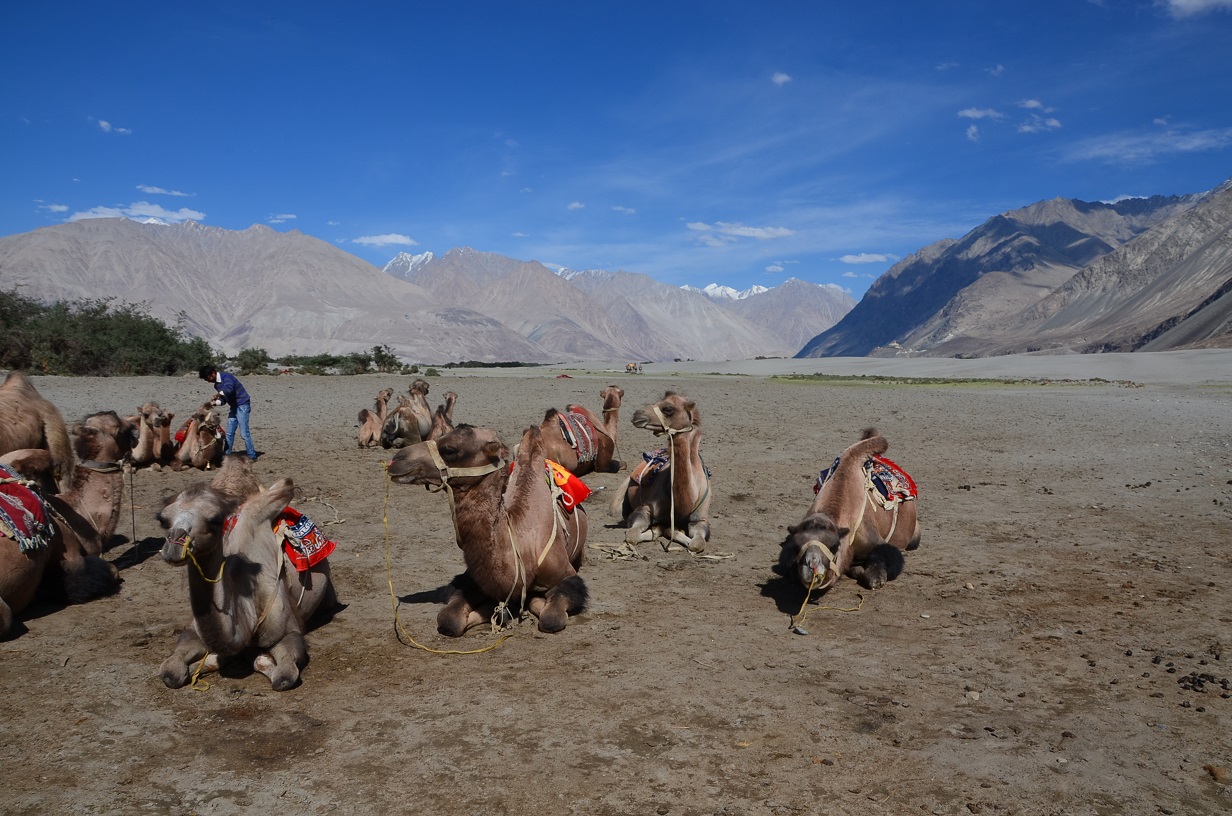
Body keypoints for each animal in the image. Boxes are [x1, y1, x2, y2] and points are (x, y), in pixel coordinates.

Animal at [158, 473, 342, 690]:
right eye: (163, 519)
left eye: (215, 520)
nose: (174, 546)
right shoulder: (192, 631)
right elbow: (170, 671)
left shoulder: (288, 632)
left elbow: (282, 676)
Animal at [389, 424, 591, 636]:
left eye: (450, 450)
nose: (397, 459)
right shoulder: (471, 580)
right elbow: (449, 619)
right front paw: (502, 612)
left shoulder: (566, 575)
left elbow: (551, 618)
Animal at [613, 391, 714, 557]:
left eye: (668, 408)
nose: (637, 414)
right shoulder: (645, 509)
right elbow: (632, 535)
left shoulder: (699, 520)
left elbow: (697, 544)